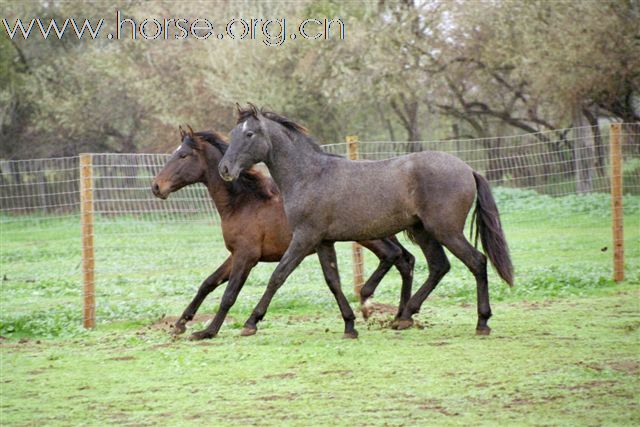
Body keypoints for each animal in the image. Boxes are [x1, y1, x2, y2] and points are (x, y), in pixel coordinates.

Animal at [153, 126, 418, 342]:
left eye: (183, 155)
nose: (157, 187)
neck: (244, 202)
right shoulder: (236, 255)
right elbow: (208, 283)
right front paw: (180, 325)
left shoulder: (246, 256)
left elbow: (229, 294)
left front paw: (209, 331)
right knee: (405, 259)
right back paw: (398, 315)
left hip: (368, 236)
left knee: (394, 256)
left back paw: (372, 304)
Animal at [220, 105, 516, 340]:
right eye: (232, 134)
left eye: (249, 134)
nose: (225, 169)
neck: (309, 176)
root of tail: (468, 169)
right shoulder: (323, 241)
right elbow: (333, 281)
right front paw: (350, 325)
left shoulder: (304, 238)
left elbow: (278, 276)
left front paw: (250, 323)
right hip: (423, 231)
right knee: (438, 266)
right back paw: (404, 317)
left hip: (446, 230)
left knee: (476, 261)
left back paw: (481, 322)